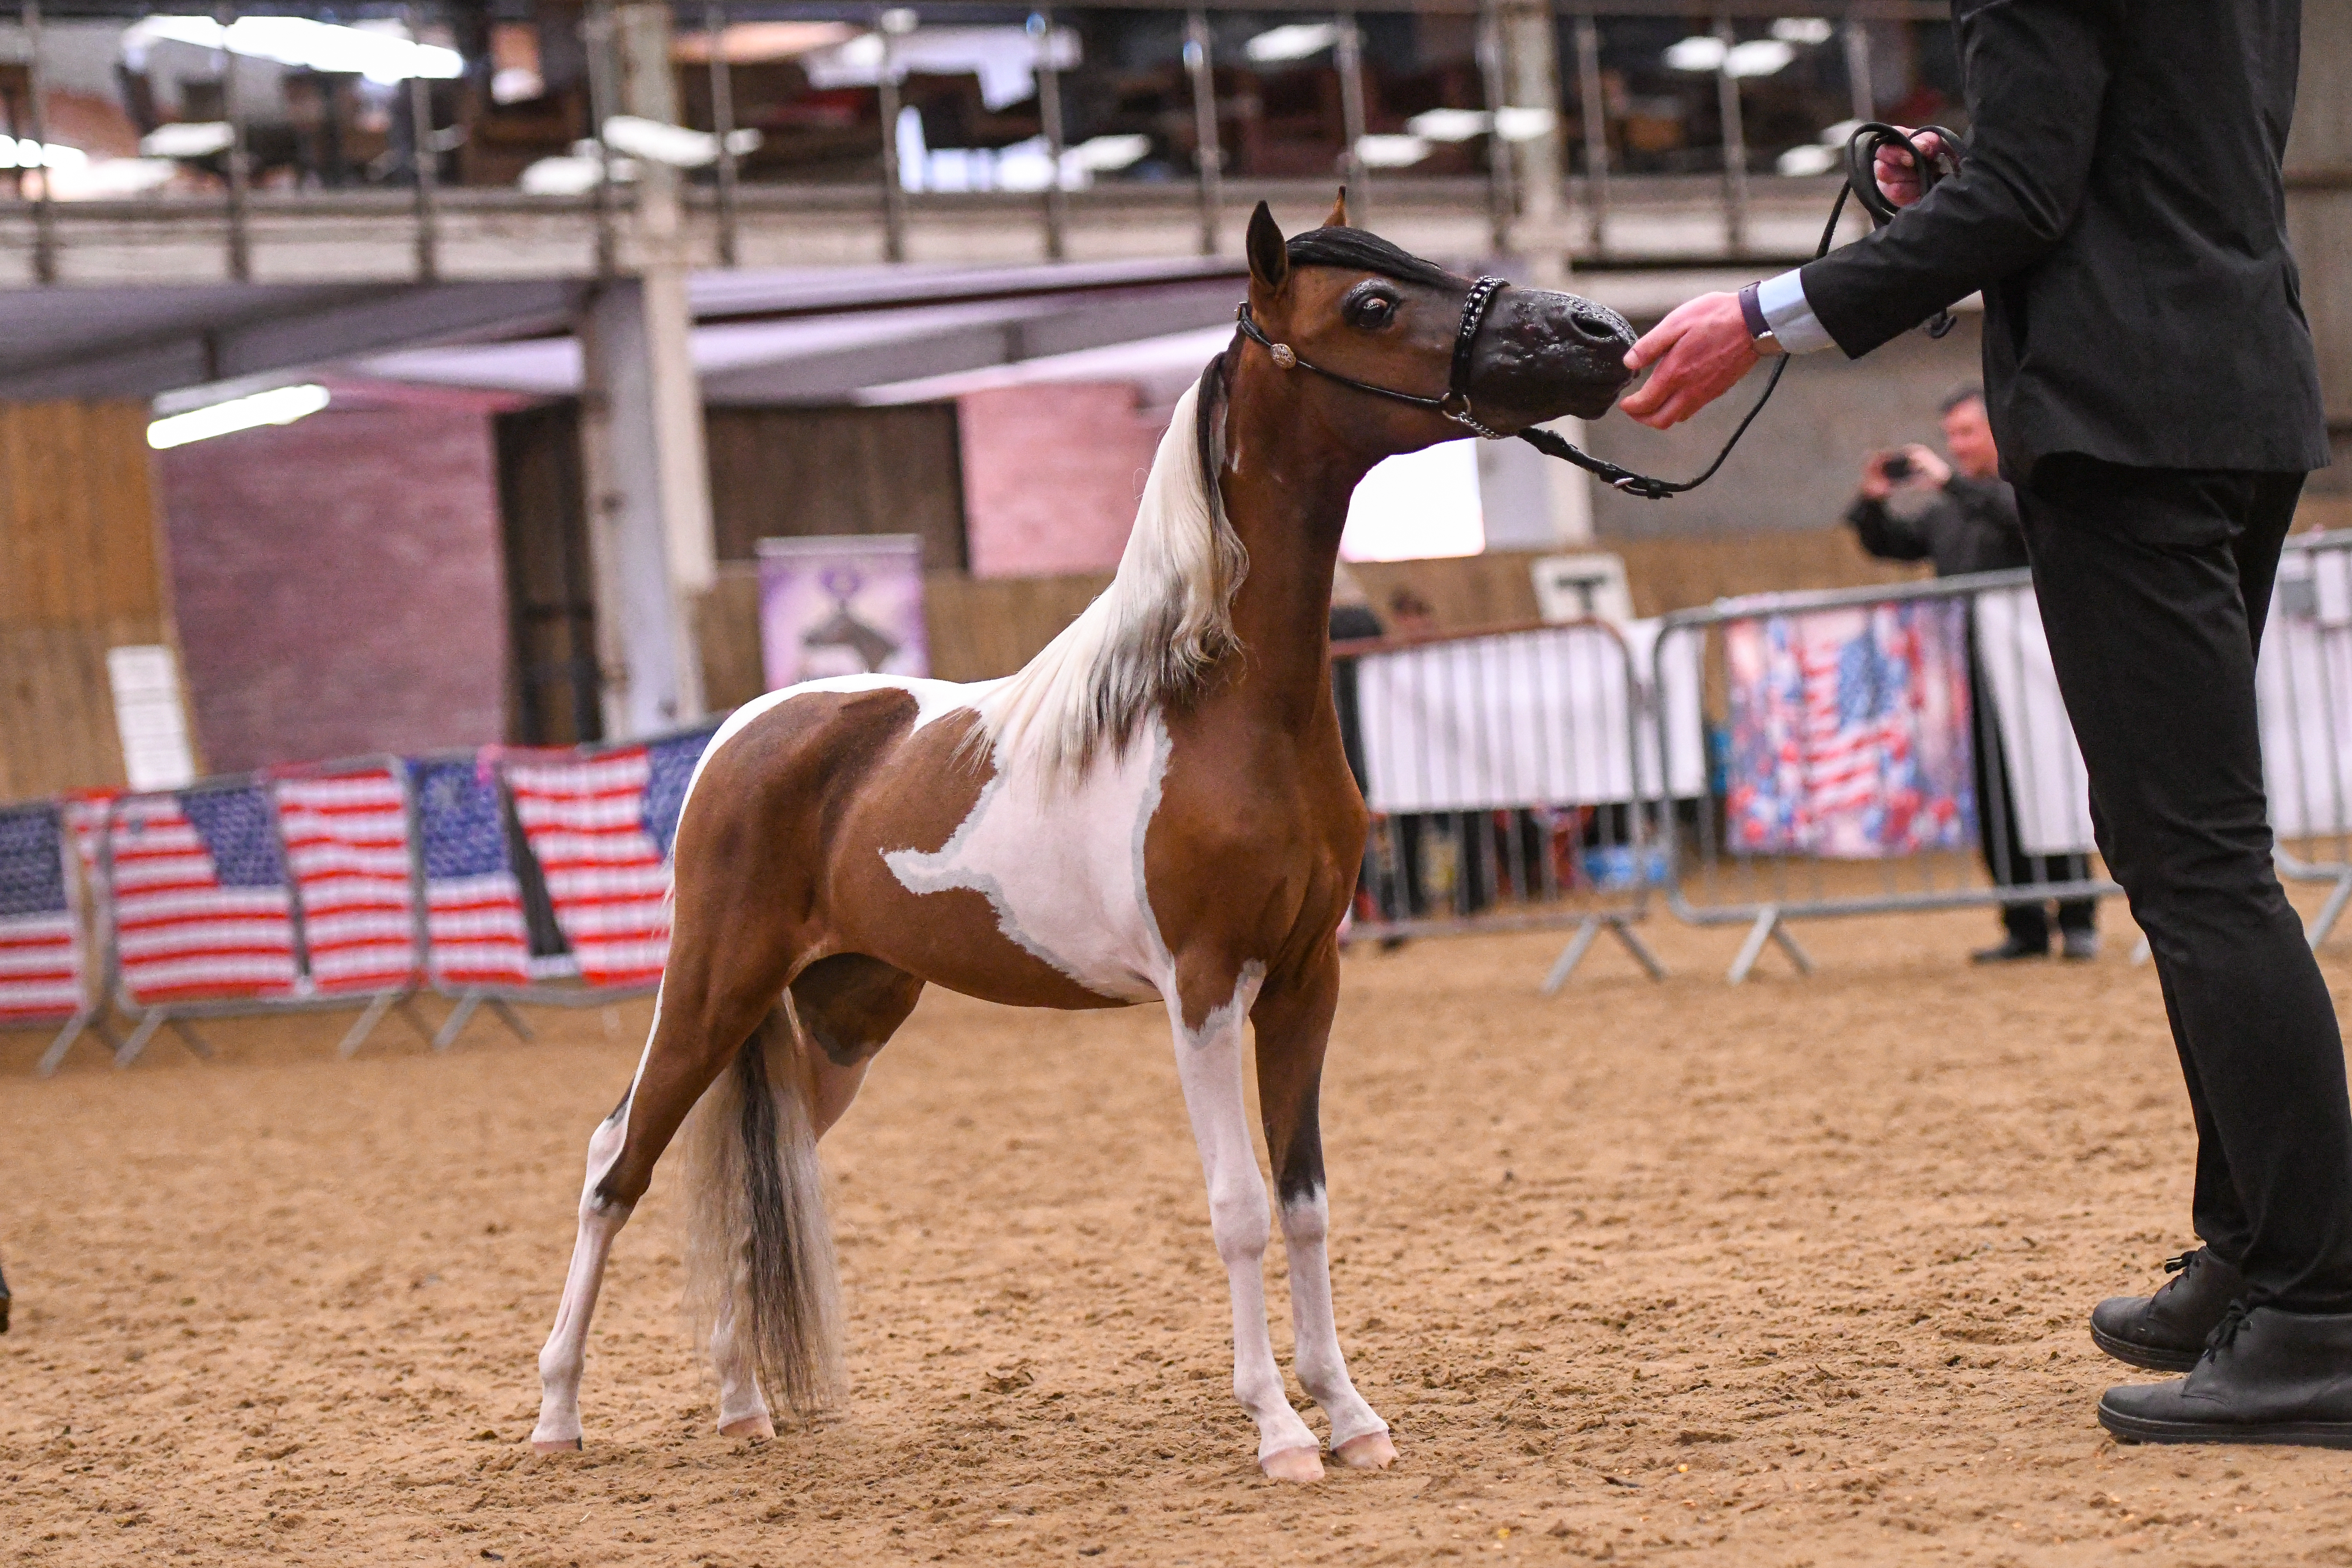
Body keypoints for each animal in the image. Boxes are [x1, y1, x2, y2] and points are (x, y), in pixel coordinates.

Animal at [528, 195, 1636, 1482]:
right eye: (1370, 304)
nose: (1598, 332)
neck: (1222, 710)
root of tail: (741, 733)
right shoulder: (1200, 991)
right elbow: (1236, 1207)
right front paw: (1276, 1430)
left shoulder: (1305, 981)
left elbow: (1303, 1199)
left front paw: (1350, 1417)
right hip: (713, 986)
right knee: (616, 1160)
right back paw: (556, 1412)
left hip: (843, 1013)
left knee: (763, 1175)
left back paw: (742, 1401)